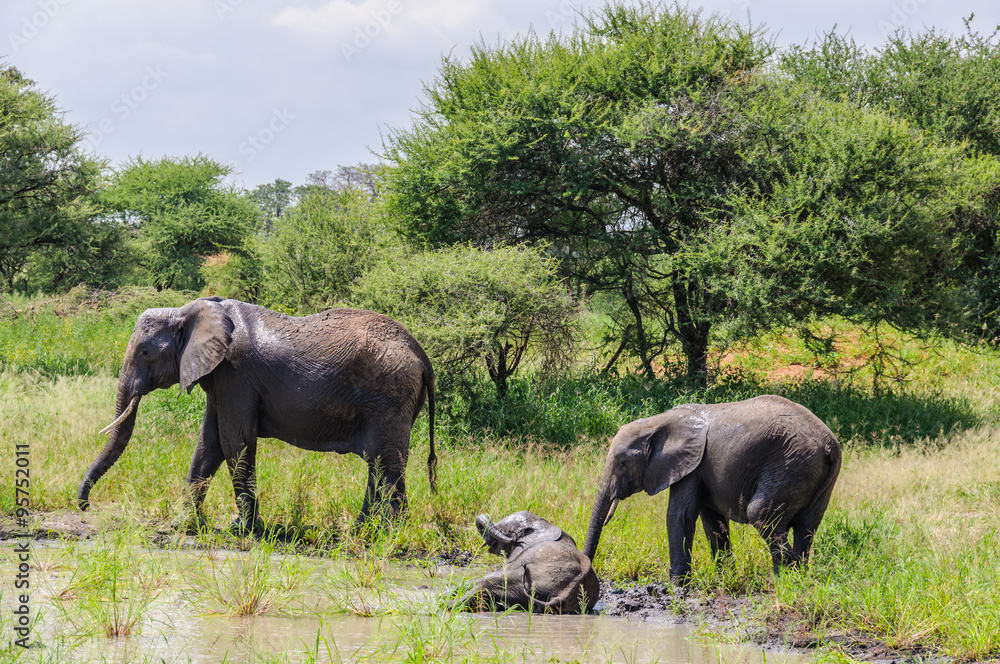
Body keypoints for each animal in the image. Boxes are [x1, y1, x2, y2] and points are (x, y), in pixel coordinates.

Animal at [78, 296, 437, 531]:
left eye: (144, 352)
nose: (84, 507)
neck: (187, 312)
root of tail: (422, 356)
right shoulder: (219, 378)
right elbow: (209, 444)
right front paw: (184, 524)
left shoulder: (236, 374)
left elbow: (234, 442)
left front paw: (244, 529)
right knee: (378, 463)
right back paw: (362, 529)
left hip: (388, 395)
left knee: (386, 462)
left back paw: (389, 535)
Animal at [582, 395, 841, 584]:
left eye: (622, 463)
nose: (589, 573)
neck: (657, 422)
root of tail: (829, 444)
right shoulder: (701, 470)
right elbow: (712, 520)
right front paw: (724, 577)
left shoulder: (691, 465)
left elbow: (680, 515)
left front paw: (676, 586)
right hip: (813, 473)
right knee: (807, 526)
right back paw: (797, 576)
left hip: (791, 464)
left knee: (760, 513)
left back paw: (783, 577)